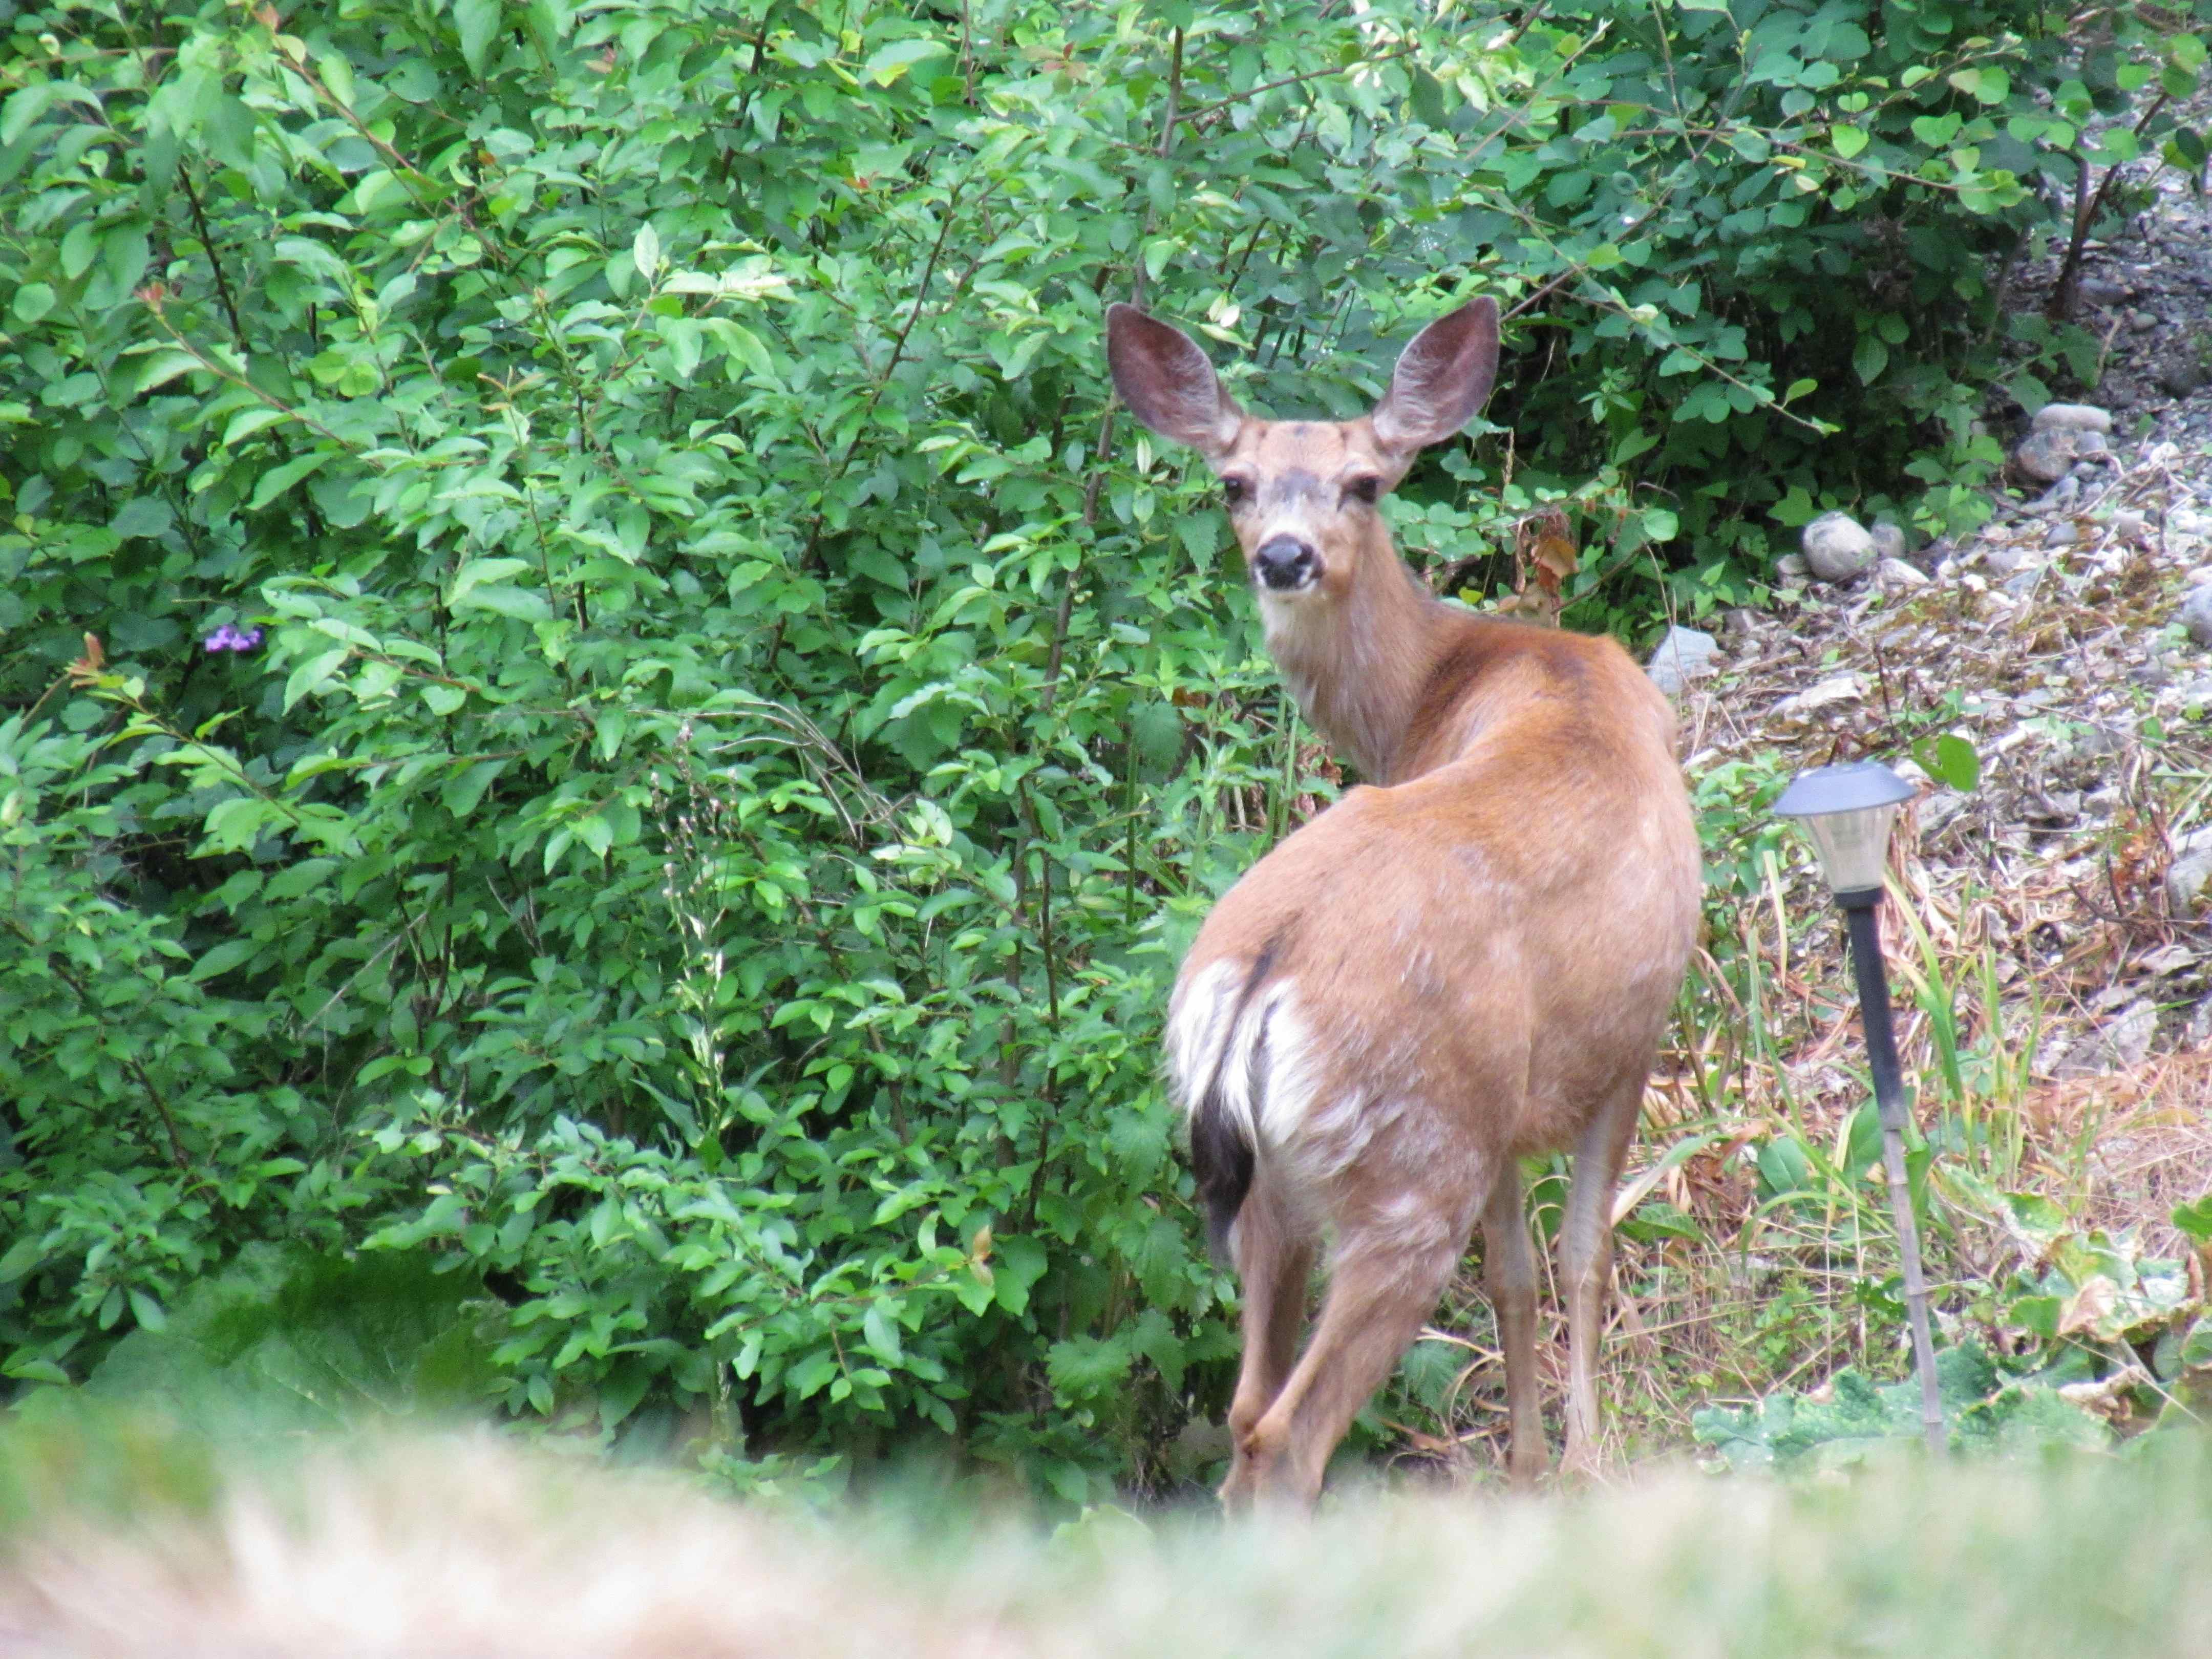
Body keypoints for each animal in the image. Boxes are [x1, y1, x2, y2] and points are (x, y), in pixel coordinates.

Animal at [1107, 295, 1701, 1510]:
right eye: (1234, 482)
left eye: (1363, 482)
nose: (1284, 556)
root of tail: (1261, 982)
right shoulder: (1631, 1036)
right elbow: (1580, 1254)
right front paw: (1577, 1461)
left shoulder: (1513, 1103)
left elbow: (1518, 1272)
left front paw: (1529, 1463)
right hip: (1411, 1159)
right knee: (1287, 1434)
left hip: (1283, 1182)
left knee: (1242, 1413)